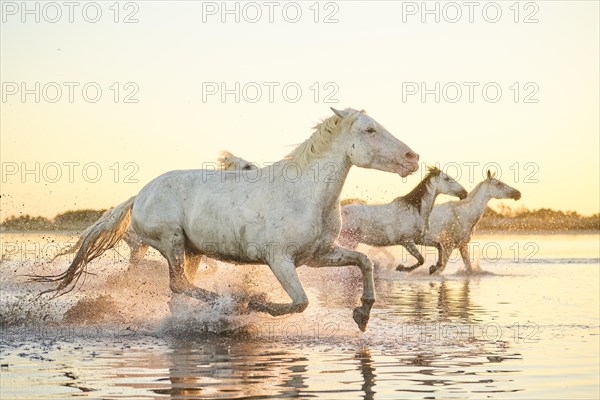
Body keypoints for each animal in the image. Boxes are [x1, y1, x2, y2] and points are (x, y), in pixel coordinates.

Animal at [338, 167, 468, 274]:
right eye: (447, 178)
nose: (464, 193)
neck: (415, 210)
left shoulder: (419, 239)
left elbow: (439, 245)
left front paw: (434, 267)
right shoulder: (407, 241)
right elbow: (421, 259)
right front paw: (402, 268)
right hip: (348, 241)